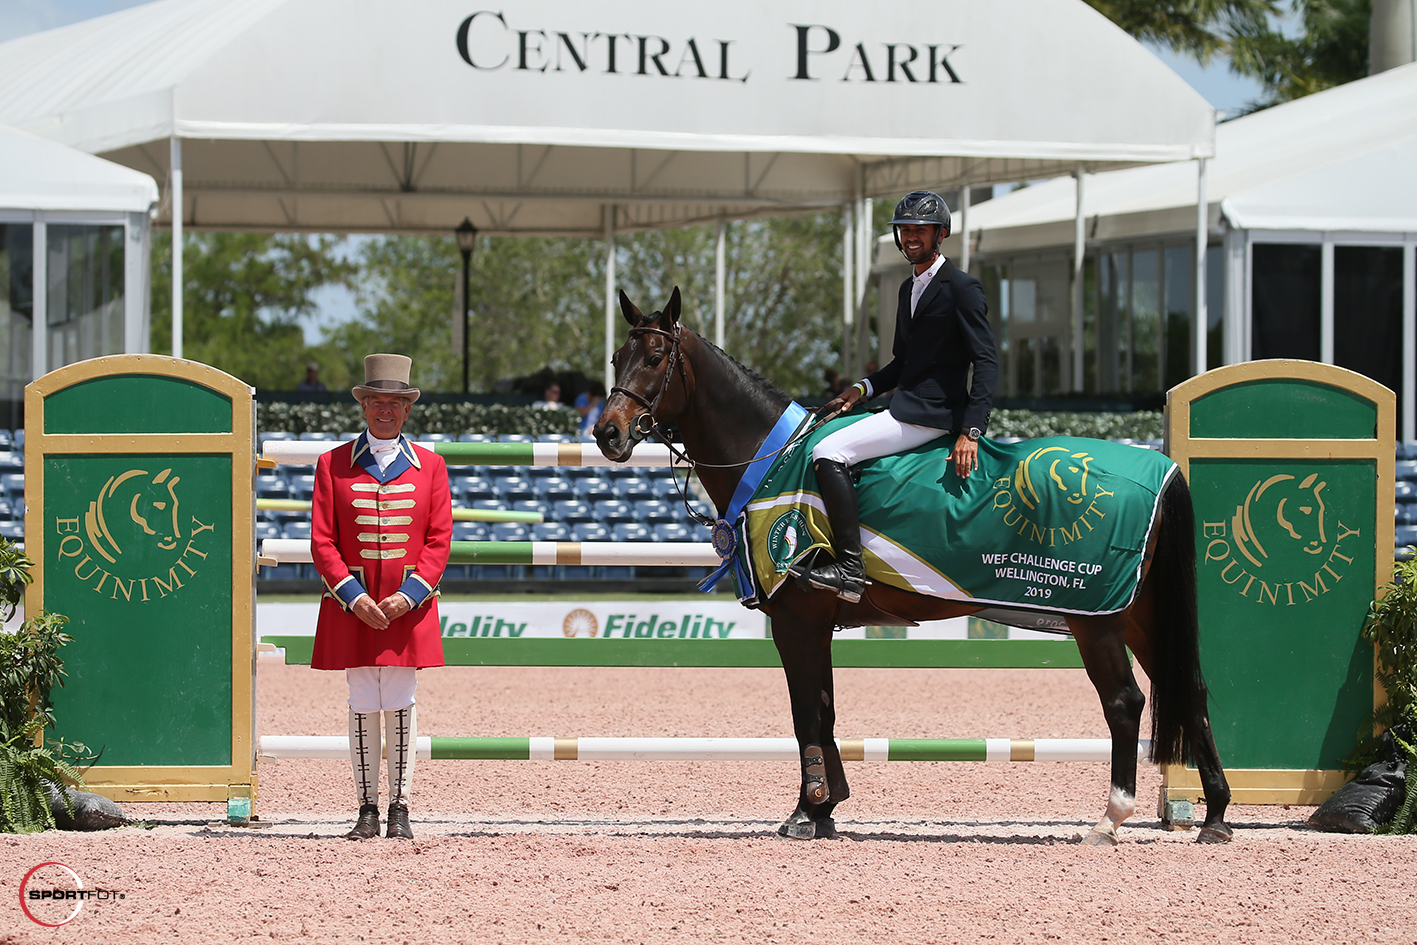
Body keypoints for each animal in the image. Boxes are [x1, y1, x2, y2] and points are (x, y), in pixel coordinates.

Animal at [592, 286, 1235, 844]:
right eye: (618, 356)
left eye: (655, 358)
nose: (607, 433)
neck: (772, 459)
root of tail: (1161, 471)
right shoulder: (817, 624)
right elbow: (824, 710)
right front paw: (826, 809)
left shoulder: (797, 619)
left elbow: (806, 714)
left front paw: (807, 813)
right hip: (1139, 613)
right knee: (1194, 689)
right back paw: (1215, 816)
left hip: (1095, 619)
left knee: (1126, 704)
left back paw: (1110, 819)